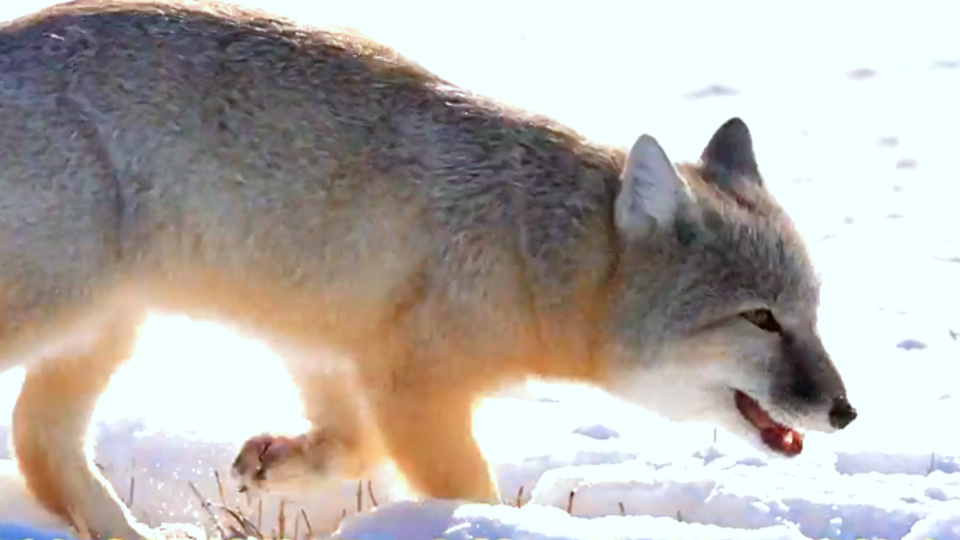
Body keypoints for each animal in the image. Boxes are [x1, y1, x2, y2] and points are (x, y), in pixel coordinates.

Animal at [0, 1, 856, 540]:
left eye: (812, 314)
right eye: (760, 317)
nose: (845, 411)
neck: (526, 245)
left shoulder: (333, 347)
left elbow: (353, 447)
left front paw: (279, 466)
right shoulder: (414, 384)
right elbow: (466, 489)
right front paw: (489, 528)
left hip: (106, 329)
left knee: (41, 444)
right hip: (62, 315)